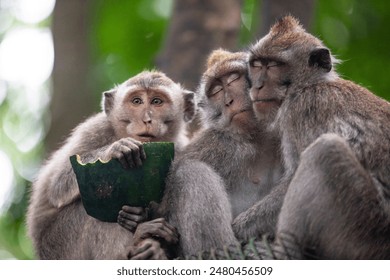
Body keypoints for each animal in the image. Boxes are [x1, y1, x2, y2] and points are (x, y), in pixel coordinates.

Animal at [26, 70, 194, 260]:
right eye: (137, 101)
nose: (146, 119)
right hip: (61, 246)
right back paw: (136, 238)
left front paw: (138, 217)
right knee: (92, 211)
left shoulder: (180, 148)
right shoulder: (94, 130)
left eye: (157, 101)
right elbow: (58, 186)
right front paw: (115, 149)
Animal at [155, 49, 284, 258]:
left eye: (233, 79)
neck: (258, 140)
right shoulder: (219, 145)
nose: (229, 102)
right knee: (190, 172)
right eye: (216, 91)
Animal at [248, 16, 390, 260]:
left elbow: (291, 180)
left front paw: (236, 228)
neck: (311, 84)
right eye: (257, 65)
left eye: (273, 65)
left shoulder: (299, 110)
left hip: (364, 229)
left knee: (324, 151)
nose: (257, 86)